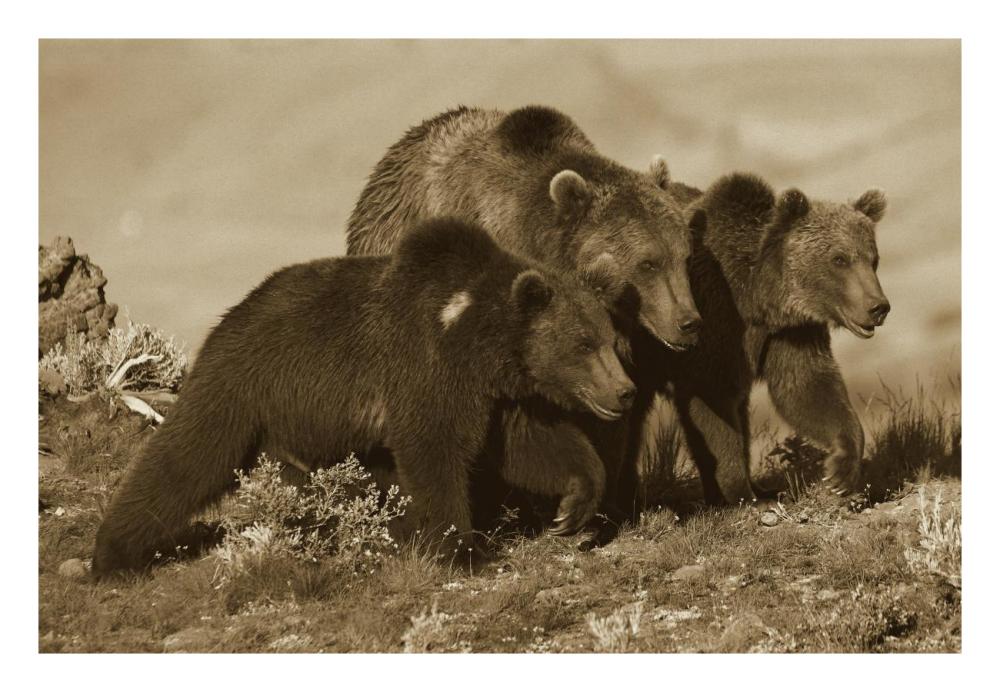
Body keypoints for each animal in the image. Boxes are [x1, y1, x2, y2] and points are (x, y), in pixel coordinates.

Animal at [91, 218, 636, 576]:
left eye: (610, 338)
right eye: (583, 343)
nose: (624, 391)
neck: (479, 339)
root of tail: (230, 315)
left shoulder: (499, 394)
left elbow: (532, 445)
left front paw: (574, 507)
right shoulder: (426, 367)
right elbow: (434, 450)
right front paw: (462, 549)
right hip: (247, 387)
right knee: (190, 455)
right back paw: (112, 553)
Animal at [345, 105, 699, 533]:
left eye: (684, 255)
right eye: (648, 263)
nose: (688, 322)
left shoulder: (617, 348)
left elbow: (616, 419)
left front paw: (612, 505)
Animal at [617, 172, 891, 507]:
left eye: (873, 258)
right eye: (839, 259)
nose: (878, 307)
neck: (759, 299)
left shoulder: (790, 333)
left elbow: (806, 388)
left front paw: (840, 469)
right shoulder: (713, 323)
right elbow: (712, 408)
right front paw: (739, 493)